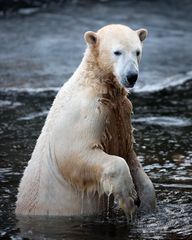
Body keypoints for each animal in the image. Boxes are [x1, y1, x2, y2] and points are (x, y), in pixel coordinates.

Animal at [15, 24, 156, 218]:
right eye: (117, 52)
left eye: (137, 51)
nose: (131, 76)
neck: (96, 82)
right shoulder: (86, 112)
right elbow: (76, 152)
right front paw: (129, 199)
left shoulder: (120, 115)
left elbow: (129, 155)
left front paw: (145, 201)